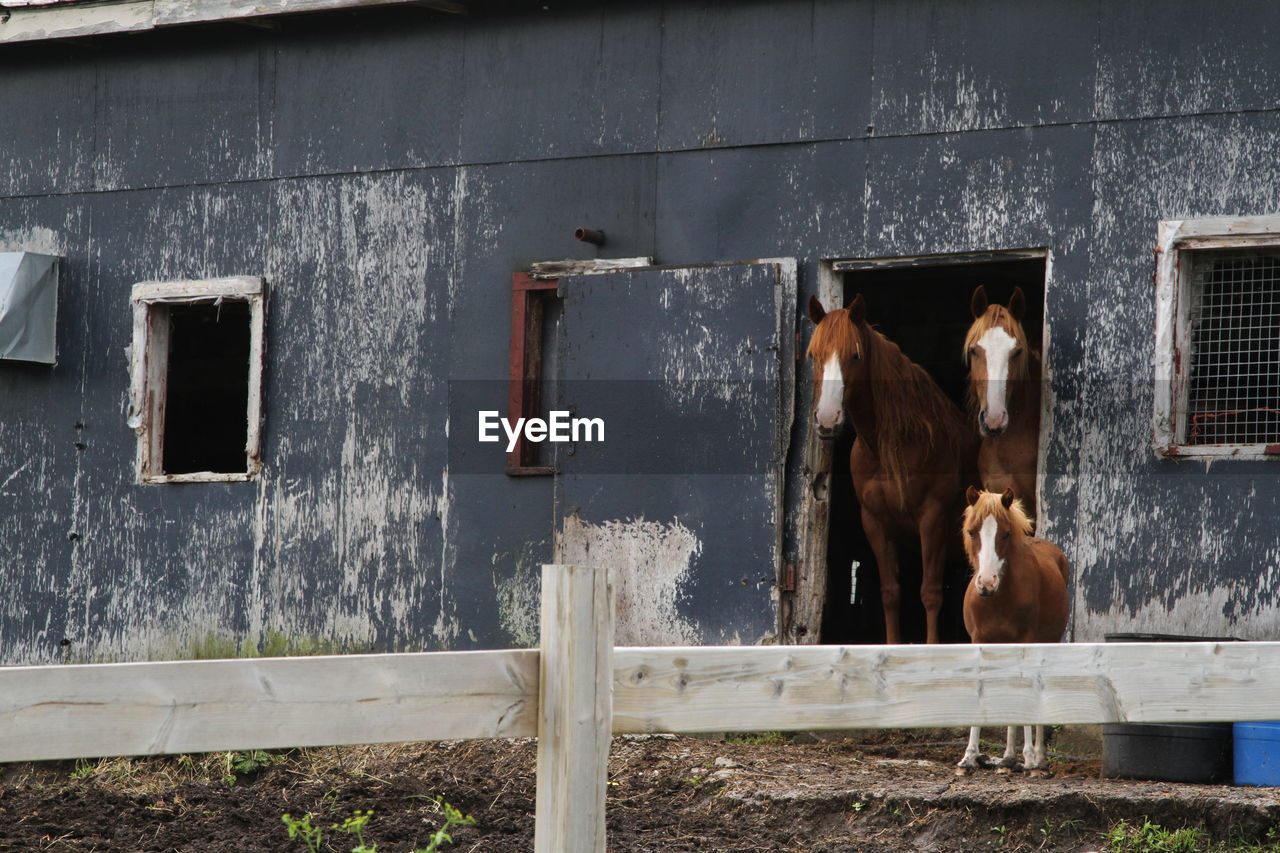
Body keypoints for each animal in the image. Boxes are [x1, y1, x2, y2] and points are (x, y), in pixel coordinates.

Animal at [803, 290, 972, 637]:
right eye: (813, 355)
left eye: (854, 355)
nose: (827, 419)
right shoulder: (876, 523)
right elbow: (890, 594)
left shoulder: (932, 519)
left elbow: (930, 593)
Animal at [952, 484, 1070, 768]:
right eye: (971, 531)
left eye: (1005, 533)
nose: (986, 583)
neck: (999, 598)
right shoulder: (980, 641)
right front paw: (969, 756)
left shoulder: (1027, 641)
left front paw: (1030, 757)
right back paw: (1007, 757)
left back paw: (1038, 757)